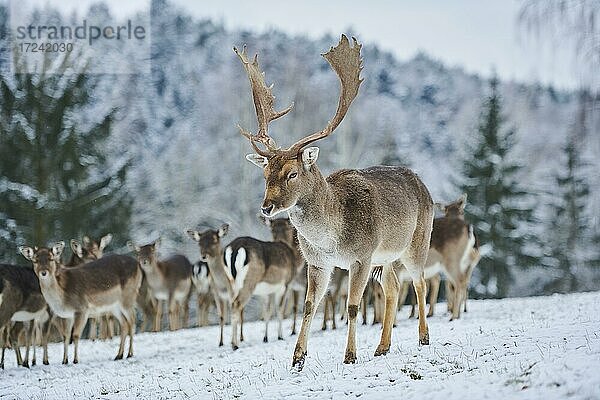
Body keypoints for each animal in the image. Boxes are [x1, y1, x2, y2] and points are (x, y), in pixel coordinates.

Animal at [237, 34, 434, 368]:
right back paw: (382, 347)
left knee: (418, 282)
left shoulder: (361, 256)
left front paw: (350, 355)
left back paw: (423, 337)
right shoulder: (317, 262)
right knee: (393, 286)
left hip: (417, 242)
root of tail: (424, 185)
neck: (332, 238)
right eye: (265, 174)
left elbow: (352, 306)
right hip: (385, 258)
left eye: (291, 173)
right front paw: (297, 358)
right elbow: (308, 306)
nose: (267, 206)